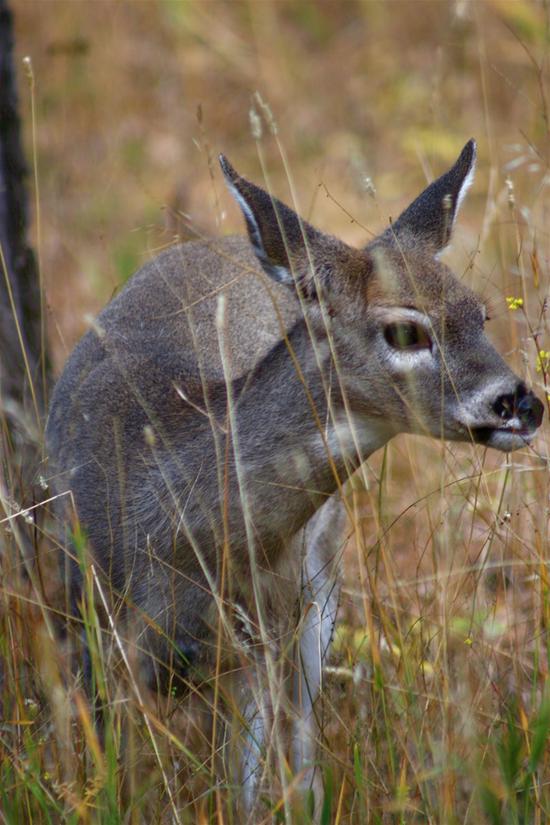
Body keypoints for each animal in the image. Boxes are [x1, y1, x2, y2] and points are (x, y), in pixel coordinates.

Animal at [46, 140, 544, 812]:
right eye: (406, 329)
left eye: (479, 314)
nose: (522, 404)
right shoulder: (90, 638)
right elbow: (110, 785)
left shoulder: (256, 640)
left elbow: (246, 792)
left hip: (319, 581)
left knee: (305, 738)